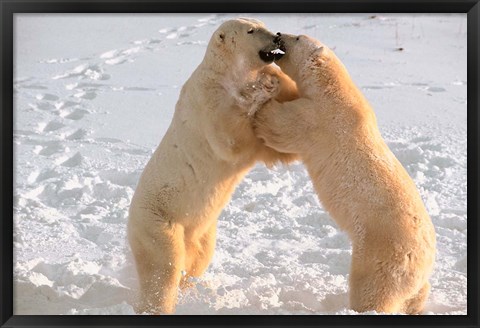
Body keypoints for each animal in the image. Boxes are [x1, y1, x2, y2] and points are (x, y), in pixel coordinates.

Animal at [129, 18, 298, 316]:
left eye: (261, 23)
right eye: (251, 31)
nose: (277, 36)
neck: (226, 74)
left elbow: (275, 147)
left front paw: (275, 82)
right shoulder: (208, 100)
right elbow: (230, 139)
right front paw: (263, 88)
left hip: (203, 230)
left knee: (198, 258)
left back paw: (190, 287)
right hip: (158, 220)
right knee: (163, 265)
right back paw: (158, 305)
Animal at [256, 34, 436, 316]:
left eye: (296, 37)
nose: (278, 35)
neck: (333, 89)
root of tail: (425, 258)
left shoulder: (318, 118)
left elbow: (284, 126)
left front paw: (265, 93)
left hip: (381, 253)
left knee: (373, 290)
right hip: (413, 276)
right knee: (416, 294)